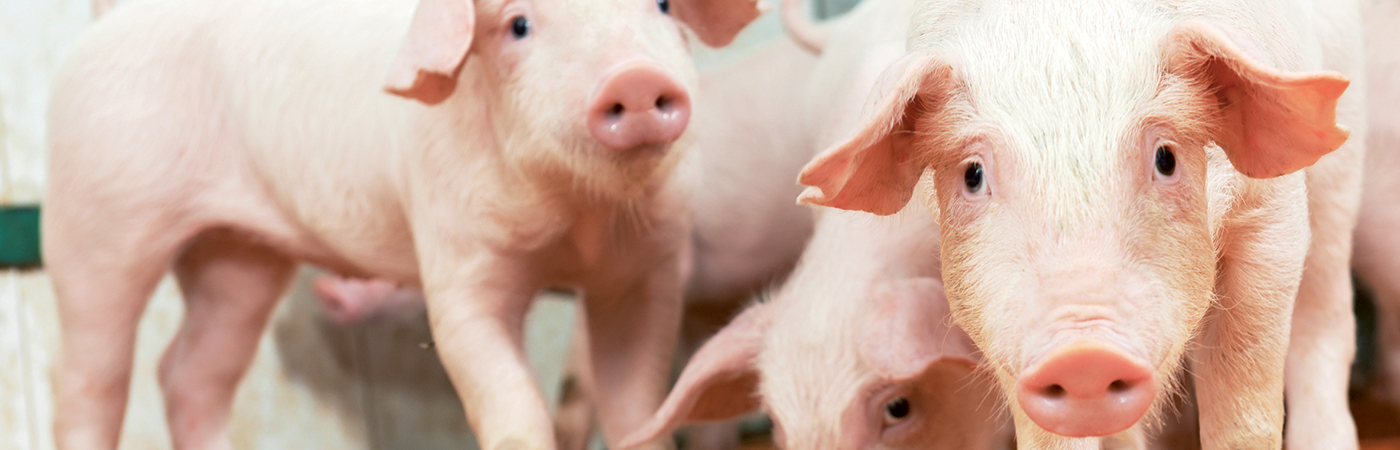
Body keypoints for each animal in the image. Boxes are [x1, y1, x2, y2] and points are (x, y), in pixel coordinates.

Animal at [41, 0, 762, 449]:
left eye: (663, 7)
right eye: (518, 24)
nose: (634, 80)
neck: (576, 221)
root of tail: (105, 24)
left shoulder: (647, 271)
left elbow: (636, 403)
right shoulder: (455, 257)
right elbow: (506, 393)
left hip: (239, 257)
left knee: (189, 373)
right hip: (95, 215)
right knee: (88, 379)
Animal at [792, 0, 1366, 448]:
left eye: (1166, 158)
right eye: (973, 174)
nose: (1083, 355)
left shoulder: (1273, 213)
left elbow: (1245, 394)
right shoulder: (994, 307)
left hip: (1338, 183)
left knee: (1326, 321)